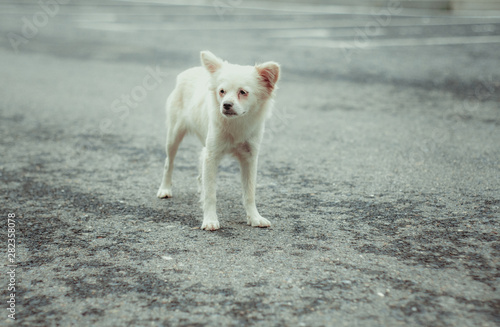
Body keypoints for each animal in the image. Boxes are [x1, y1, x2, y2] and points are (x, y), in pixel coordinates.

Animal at [157, 50, 280, 231]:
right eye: (222, 91)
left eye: (243, 92)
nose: (226, 105)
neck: (236, 123)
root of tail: (189, 71)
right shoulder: (212, 155)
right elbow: (211, 194)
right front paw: (209, 220)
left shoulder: (249, 158)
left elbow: (249, 193)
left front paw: (254, 217)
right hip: (174, 136)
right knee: (169, 163)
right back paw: (165, 189)